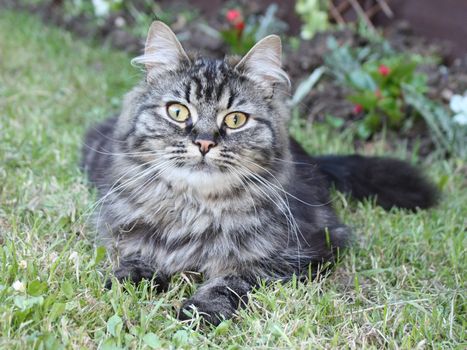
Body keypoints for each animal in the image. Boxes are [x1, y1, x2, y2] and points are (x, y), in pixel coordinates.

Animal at [81, 20, 438, 324]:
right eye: (178, 112)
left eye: (235, 119)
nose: (204, 142)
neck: (194, 211)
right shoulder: (128, 233)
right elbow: (135, 259)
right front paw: (123, 284)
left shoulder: (305, 250)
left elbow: (235, 279)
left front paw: (199, 311)